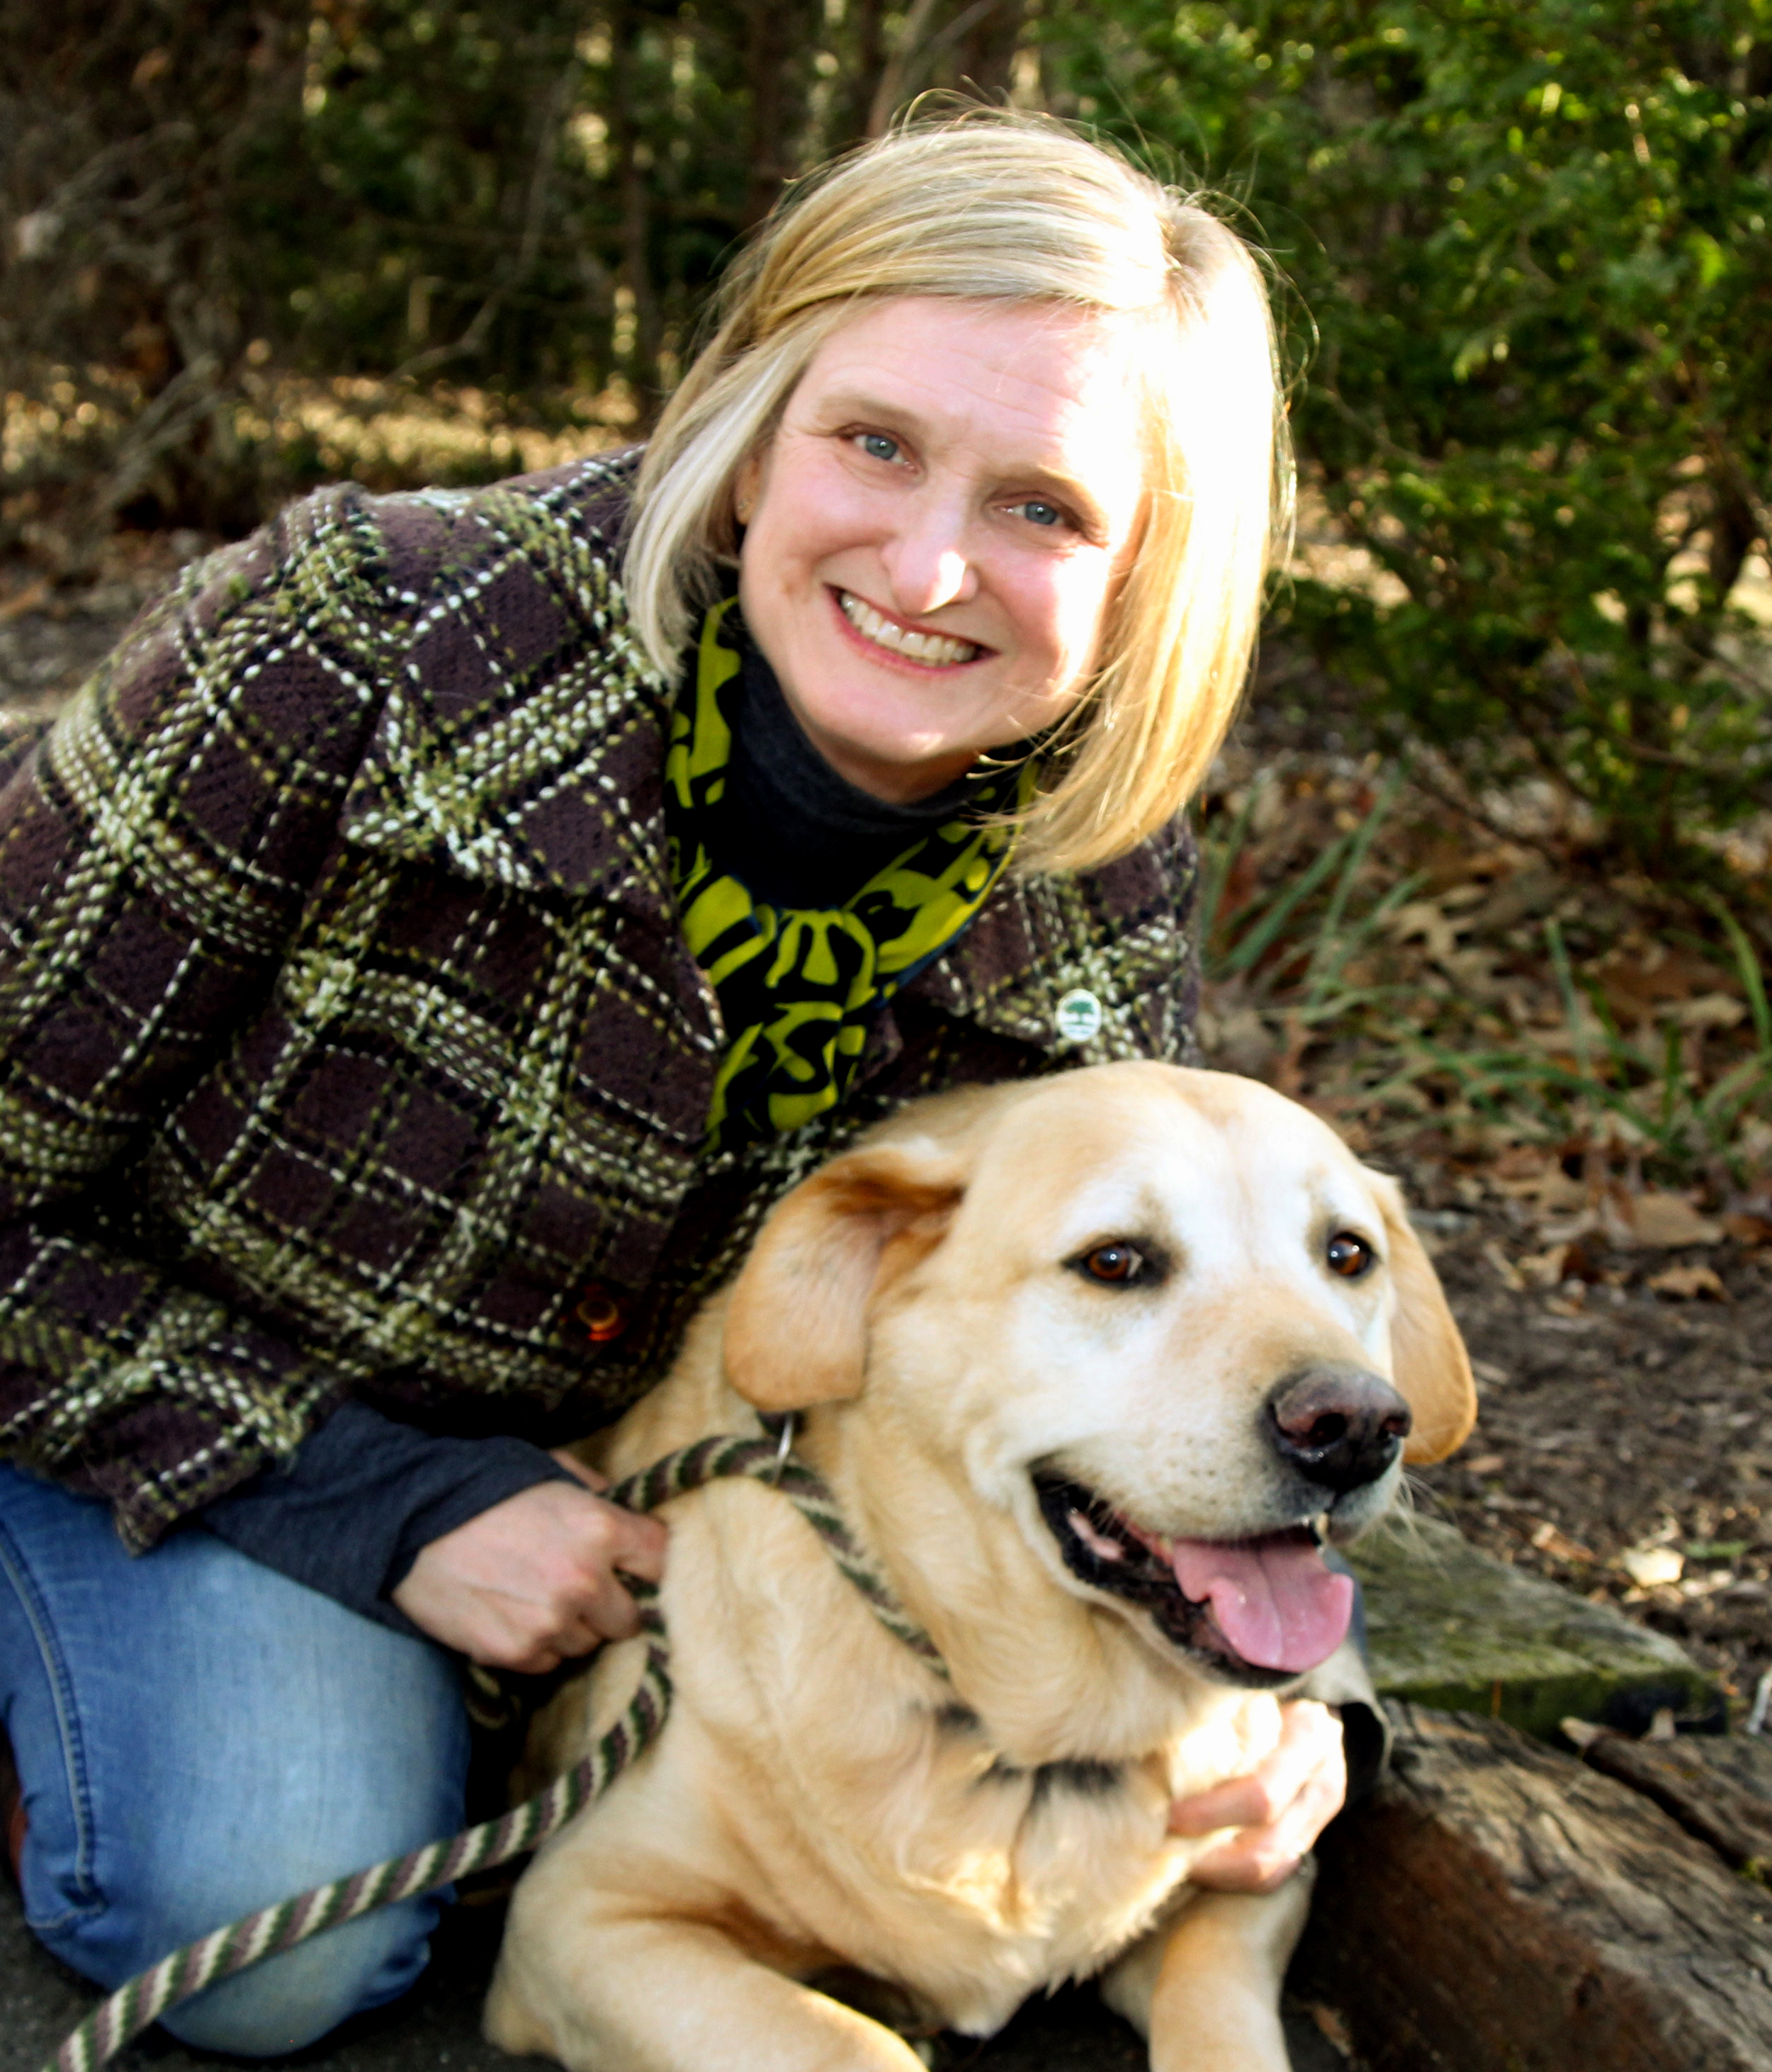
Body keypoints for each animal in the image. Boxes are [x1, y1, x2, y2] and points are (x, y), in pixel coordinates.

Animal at [491, 1069, 1475, 2072]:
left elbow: (1219, 2022)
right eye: (1113, 1261)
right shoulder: (580, 1916)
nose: (1355, 1425)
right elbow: (851, 2043)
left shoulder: (1255, 1879)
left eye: (1347, 1253)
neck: (1034, 1744)